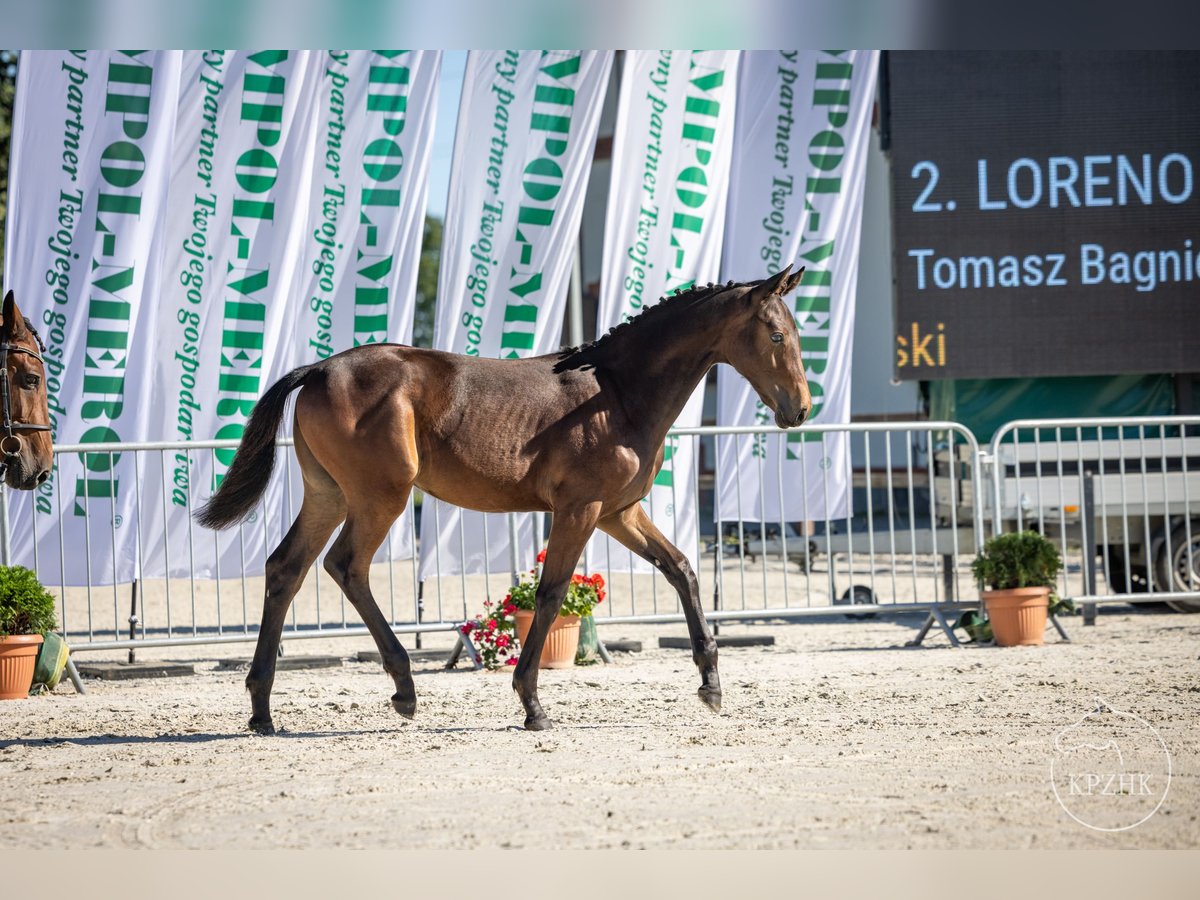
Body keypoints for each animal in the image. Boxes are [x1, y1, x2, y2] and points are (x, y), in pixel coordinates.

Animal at [201, 264, 811, 729]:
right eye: (777, 336)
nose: (800, 409)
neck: (617, 393)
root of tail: (320, 369)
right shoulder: (580, 510)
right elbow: (551, 593)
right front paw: (532, 704)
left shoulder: (620, 513)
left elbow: (681, 569)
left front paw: (711, 685)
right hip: (380, 498)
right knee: (346, 566)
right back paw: (403, 688)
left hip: (328, 496)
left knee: (286, 568)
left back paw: (262, 710)